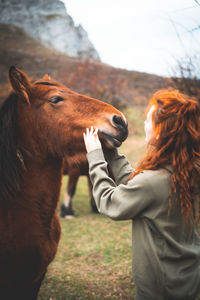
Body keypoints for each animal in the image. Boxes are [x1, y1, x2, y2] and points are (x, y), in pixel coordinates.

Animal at [0, 65, 127, 298]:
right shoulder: (76, 171)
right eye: (55, 99)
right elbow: (73, 189)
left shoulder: (34, 281)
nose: (120, 120)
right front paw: (68, 211)